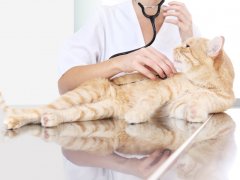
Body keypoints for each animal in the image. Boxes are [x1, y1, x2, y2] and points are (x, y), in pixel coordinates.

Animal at [0, 36, 235, 129]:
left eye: (187, 46)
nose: (175, 47)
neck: (200, 83)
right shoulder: (162, 88)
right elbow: (149, 100)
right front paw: (137, 115)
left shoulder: (202, 103)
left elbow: (200, 105)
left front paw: (196, 111)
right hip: (80, 95)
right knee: (37, 110)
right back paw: (15, 120)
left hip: (96, 110)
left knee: (61, 113)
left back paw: (51, 119)